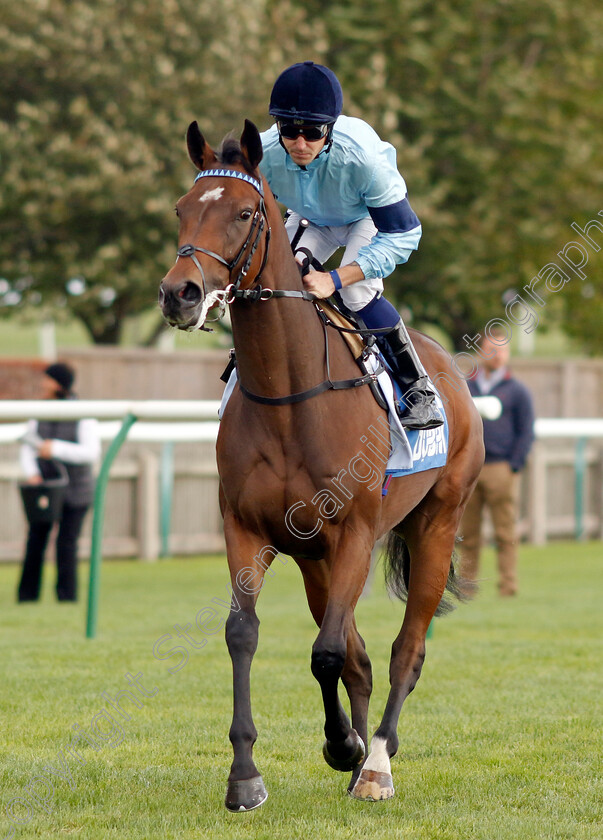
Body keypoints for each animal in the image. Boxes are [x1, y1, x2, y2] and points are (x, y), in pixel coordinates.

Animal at [158, 118, 484, 808]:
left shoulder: (356, 532)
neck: (290, 396)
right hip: (314, 561)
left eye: (245, 211)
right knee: (361, 654)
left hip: (436, 523)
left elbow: (327, 653)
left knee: (405, 648)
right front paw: (246, 776)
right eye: (180, 209)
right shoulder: (248, 529)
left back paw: (376, 761)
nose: (181, 293)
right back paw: (362, 756)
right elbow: (246, 635)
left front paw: (345, 747)